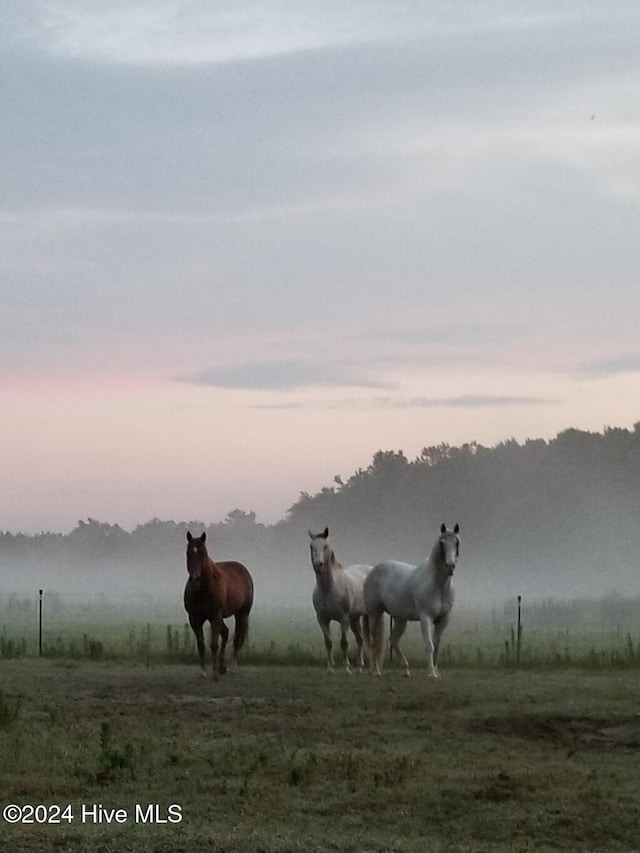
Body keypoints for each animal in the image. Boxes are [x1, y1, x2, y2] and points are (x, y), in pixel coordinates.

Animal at [184, 532, 254, 680]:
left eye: (203, 553)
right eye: (188, 553)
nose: (195, 578)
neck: (203, 589)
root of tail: (243, 570)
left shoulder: (215, 615)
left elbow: (213, 644)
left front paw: (215, 674)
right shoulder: (194, 618)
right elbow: (201, 645)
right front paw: (204, 672)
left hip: (241, 614)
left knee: (237, 640)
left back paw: (232, 668)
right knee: (226, 633)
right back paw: (223, 667)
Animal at [308, 524, 372, 672]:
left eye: (325, 546)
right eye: (311, 546)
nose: (318, 564)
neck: (328, 588)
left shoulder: (344, 618)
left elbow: (344, 643)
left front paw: (346, 666)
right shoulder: (322, 619)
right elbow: (328, 642)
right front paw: (330, 666)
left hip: (365, 616)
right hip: (354, 618)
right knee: (360, 638)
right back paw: (360, 663)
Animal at [364, 520, 460, 680]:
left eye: (457, 542)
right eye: (442, 543)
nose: (450, 566)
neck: (437, 585)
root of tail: (372, 572)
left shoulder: (443, 619)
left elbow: (436, 645)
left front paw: (436, 671)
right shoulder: (425, 617)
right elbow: (429, 645)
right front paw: (431, 673)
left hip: (400, 619)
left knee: (394, 640)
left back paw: (406, 669)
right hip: (374, 614)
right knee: (373, 640)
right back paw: (375, 670)